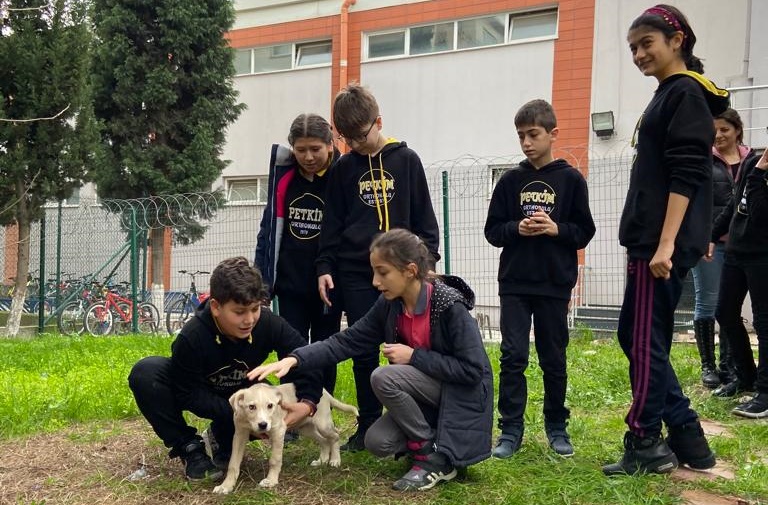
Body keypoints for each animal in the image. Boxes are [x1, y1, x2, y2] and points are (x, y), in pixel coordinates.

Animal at [212, 382, 358, 492]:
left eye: (270, 406)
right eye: (251, 407)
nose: (263, 425)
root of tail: (325, 392)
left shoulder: (278, 431)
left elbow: (274, 460)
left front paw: (270, 481)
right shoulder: (239, 435)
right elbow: (233, 464)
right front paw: (226, 486)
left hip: (323, 424)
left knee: (335, 435)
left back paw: (335, 460)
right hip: (305, 428)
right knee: (324, 441)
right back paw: (322, 460)